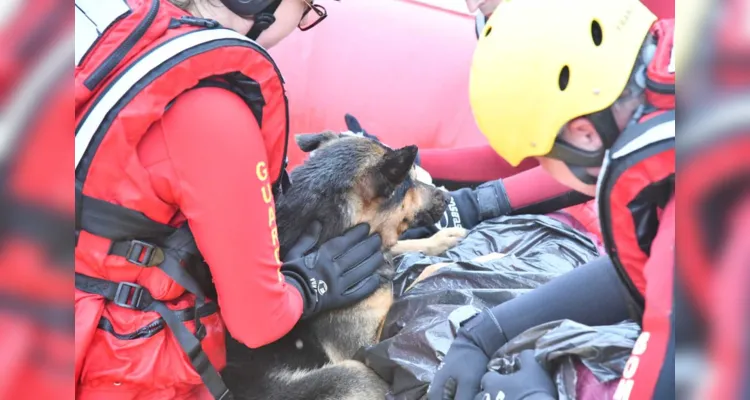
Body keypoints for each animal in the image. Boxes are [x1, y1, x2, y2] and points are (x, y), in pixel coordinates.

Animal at [220, 132, 462, 400]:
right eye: (409, 183)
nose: (449, 197)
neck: (331, 235)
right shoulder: (366, 345)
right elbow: (411, 285)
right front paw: (443, 269)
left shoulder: (371, 246)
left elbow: (402, 245)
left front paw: (440, 240)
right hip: (354, 373)